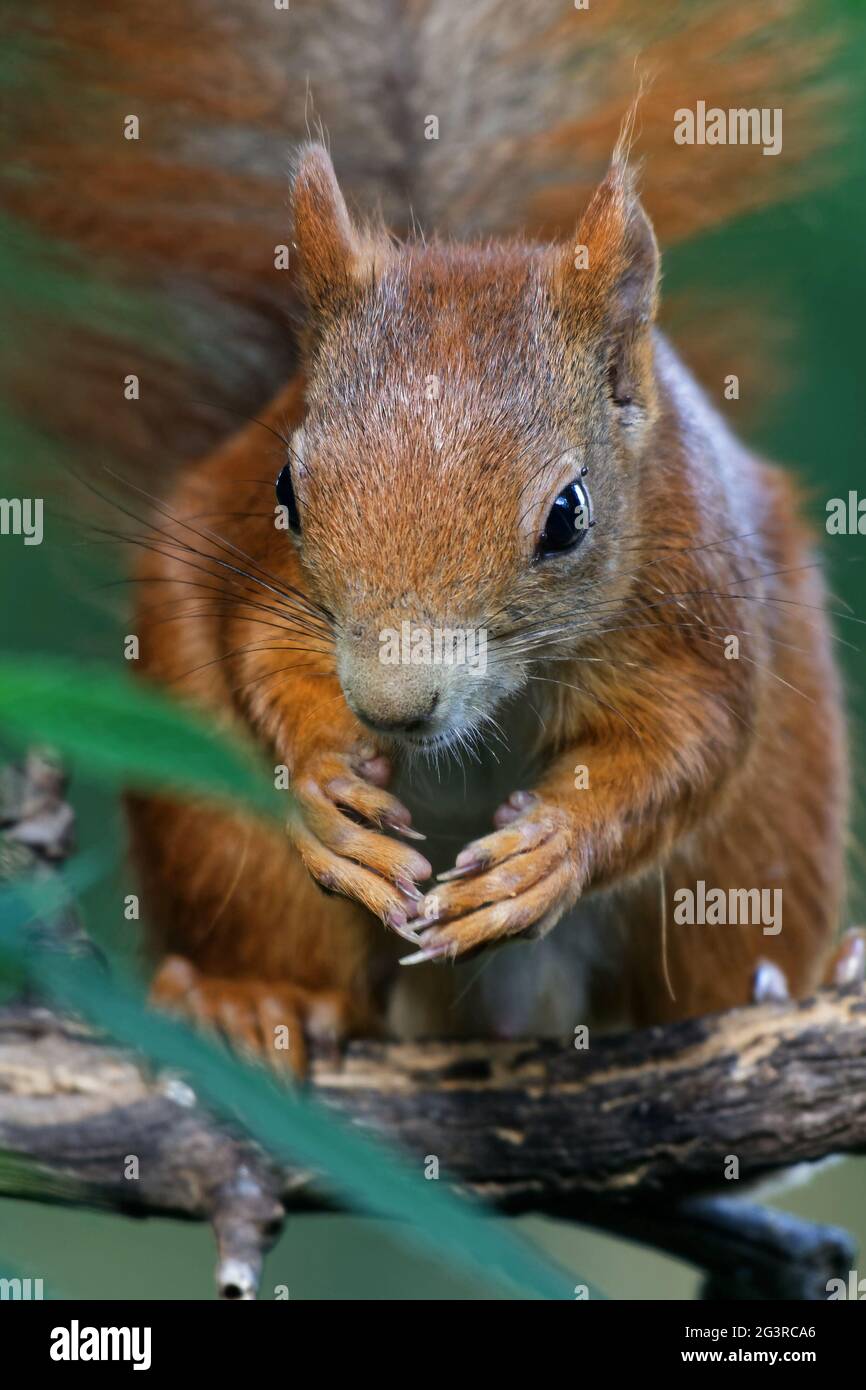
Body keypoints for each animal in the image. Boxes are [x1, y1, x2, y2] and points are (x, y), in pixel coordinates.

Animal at [4, 0, 858, 1068]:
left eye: (568, 515)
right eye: (286, 489)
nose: (391, 705)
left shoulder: (698, 600)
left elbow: (686, 746)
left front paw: (550, 852)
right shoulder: (255, 565)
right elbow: (262, 657)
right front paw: (326, 786)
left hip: (771, 825)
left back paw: (797, 978)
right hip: (213, 820)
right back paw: (248, 999)